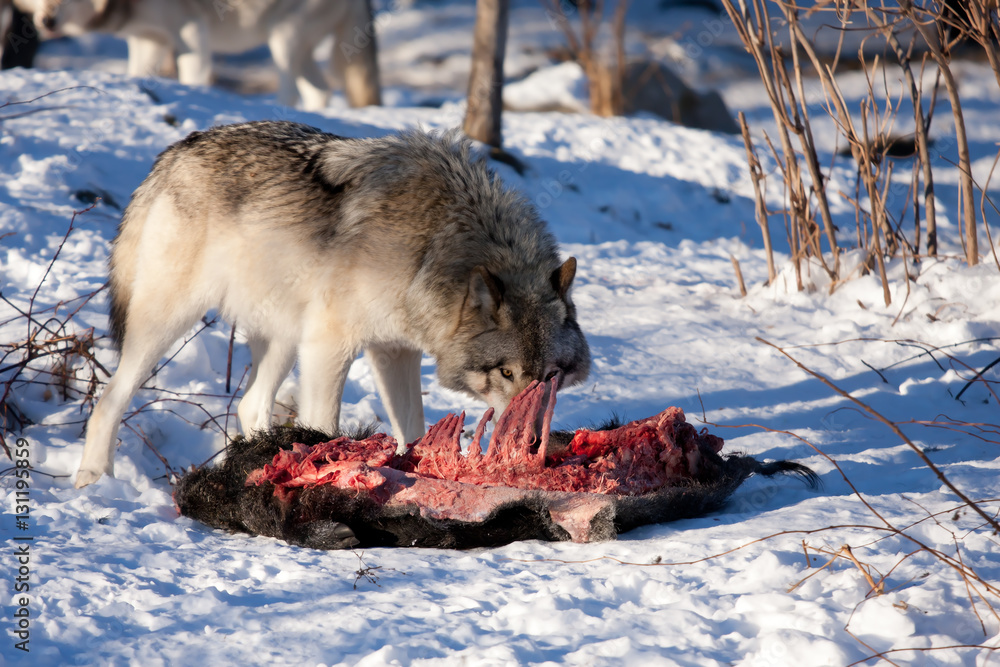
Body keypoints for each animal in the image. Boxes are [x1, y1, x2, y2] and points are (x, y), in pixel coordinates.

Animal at [15, 0, 382, 109]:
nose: (46, 21)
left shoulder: (191, 31)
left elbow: (193, 77)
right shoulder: (146, 39)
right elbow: (137, 73)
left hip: (283, 40)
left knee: (290, 92)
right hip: (300, 49)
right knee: (322, 90)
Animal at [78, 120, 592, 488]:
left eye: (550, 377)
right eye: (506, 373)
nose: (532, 442)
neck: (434, 244)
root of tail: (174, 153)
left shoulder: (394, 350)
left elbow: (413, 427)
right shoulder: (331, 345)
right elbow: (324, 427)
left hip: (284, 337)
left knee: (249, 406)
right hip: (169, 322)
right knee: (110, 398)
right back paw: (93, 479)